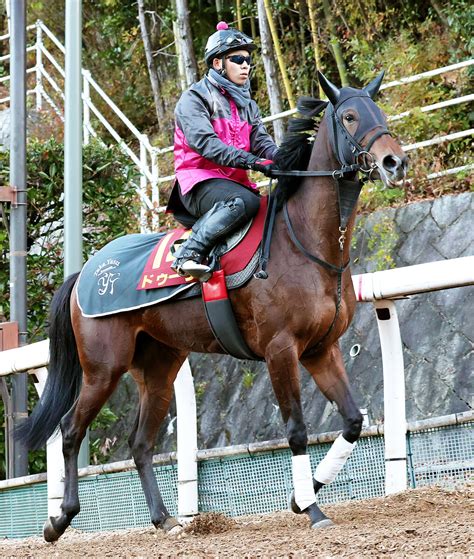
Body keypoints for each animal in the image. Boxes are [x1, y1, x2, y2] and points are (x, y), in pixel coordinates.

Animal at [17, 72, 408, 540]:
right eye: (349, 116)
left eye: (378, 111)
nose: (395, 163)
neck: (305, 242)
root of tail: (88, 270)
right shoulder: (280, 350)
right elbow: (296, 430)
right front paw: (312, 509)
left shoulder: (320, 349)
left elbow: (352, 420)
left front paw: (302, 496)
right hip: (103, 367)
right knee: (71, 430)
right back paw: (59, 519)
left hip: (160, 367)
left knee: (140, 443)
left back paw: (164, 519)